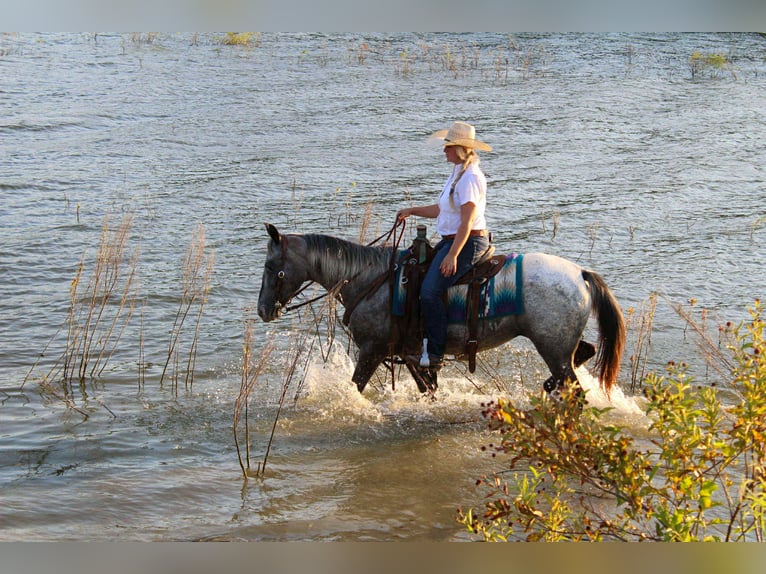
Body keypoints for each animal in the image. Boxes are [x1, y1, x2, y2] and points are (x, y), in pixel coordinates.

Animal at [256, 223, 626, 399]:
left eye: (271, 267)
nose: (263, 310)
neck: (370, 279)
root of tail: (580, 273)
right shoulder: (409, 354)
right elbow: (428, 389)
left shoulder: (373, 351)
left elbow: (356, 386)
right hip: (559, 345)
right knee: (584, 353)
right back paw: (548, 386)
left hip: (552, 346)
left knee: (574, 383)